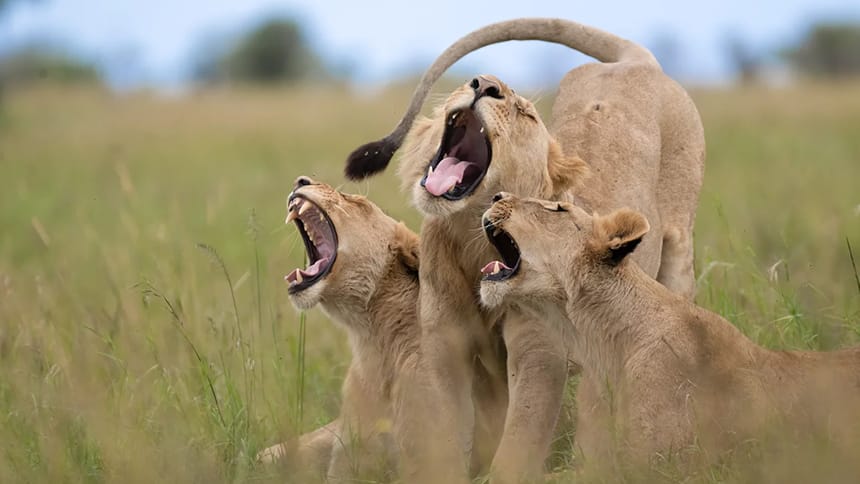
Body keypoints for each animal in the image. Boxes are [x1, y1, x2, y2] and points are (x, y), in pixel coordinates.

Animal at [342, 18, 705, 483]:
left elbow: (518, 445)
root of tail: (634, 63)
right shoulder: (444, 349)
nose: (483, 84)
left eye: (526, 113)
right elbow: (444, 436)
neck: (472, 241)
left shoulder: (539, 353)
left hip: (679, 252)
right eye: (471, 82)